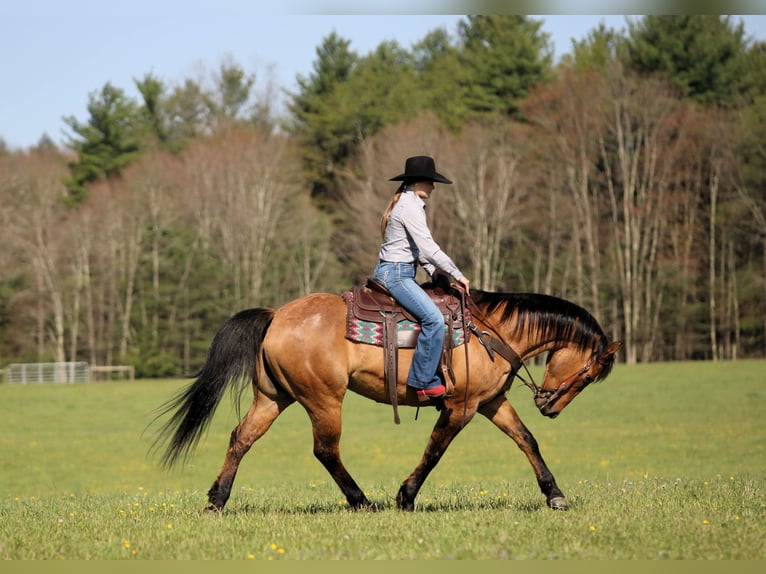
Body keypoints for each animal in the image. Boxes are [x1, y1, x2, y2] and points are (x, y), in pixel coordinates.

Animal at [152, 286, 622, 513]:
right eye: (590, 374)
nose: (550, 406)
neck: (491, 331)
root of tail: (276, 315)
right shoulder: (462, 407)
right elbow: (434, 452)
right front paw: (405, 497)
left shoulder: (490, 403)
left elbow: (527, 441)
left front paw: (554, 494)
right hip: (324, 400)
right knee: (325, 450)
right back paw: (361, 501)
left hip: (273, 397)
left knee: (241, 439)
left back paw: (217, 501)